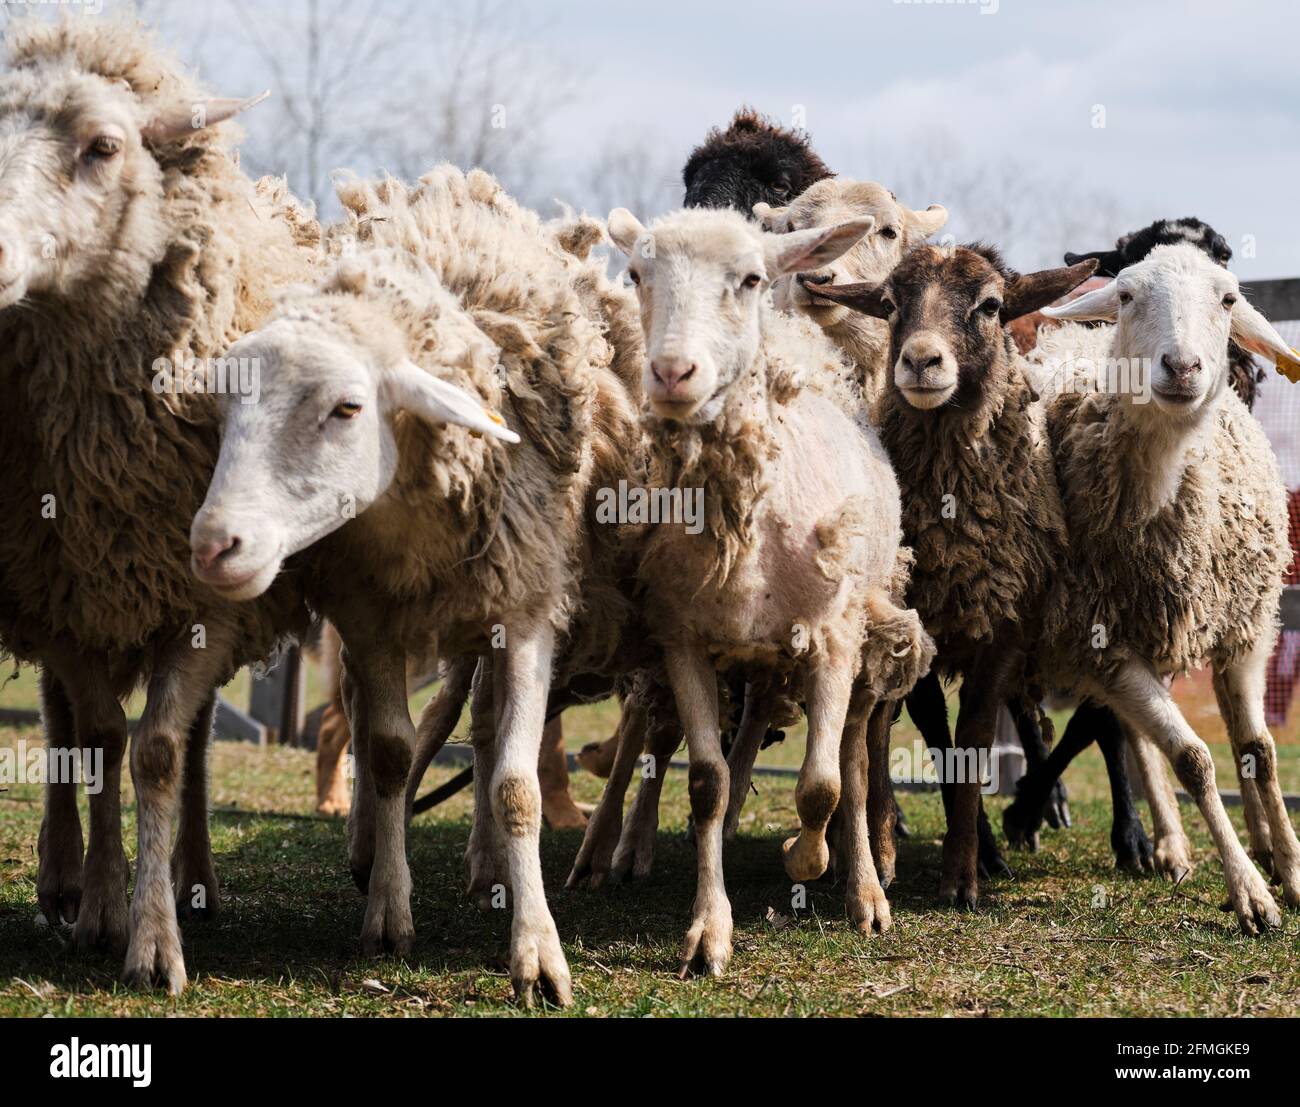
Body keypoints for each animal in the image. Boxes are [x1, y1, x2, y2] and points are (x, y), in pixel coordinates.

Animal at [0, 15, 322, 992]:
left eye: (104, 146)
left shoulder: (207, 598)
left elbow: (159, 751)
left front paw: (153, 937)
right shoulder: (61, 590)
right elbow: (102, 737)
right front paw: (104, 906)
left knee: (202, 737)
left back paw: (195, 875)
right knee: (62, 723)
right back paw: (64, 877)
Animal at [603, 205, 930, 966]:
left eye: (751, 278)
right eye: (636, 274)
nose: (671, 372)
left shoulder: (833, 638)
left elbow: (821, 787)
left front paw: (805, 859)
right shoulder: (684, 640)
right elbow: (707, 783)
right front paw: (708, 930)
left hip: (865, 631)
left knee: (853, 763)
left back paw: (865, 892)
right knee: (747, 734)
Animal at [806, 244, 1102, 909]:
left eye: (990, 305)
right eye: (890, 304)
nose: (920, 360)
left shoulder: (1002, 635)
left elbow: (971, 741)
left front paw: (965, 871)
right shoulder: (910, 625)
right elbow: (914, 740)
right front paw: (890, 853)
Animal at [1024, 244, 1300, 935]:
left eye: (1228, 299)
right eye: (1125, 295)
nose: (1182, 366)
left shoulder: (1246, 628)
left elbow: (1259, 748)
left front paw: (1290, 868)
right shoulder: (1105, 646)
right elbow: (1194, 761)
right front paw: (1250, 891)